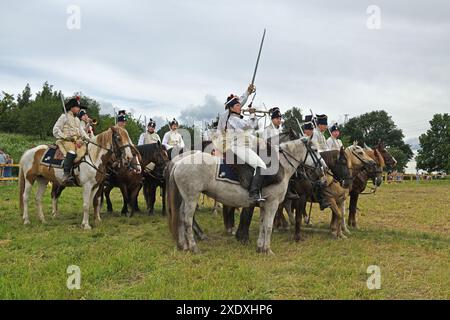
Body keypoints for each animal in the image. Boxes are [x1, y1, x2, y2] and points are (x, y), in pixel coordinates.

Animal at [164, 138, 324, 255]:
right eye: (315, 150)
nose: (323, 169)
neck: (282, 166)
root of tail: (178, 162)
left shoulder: (264, 205)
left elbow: (262, 226)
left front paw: (260, 248)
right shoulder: (272, 204)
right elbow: (268, 226)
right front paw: (267, 250)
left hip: (185, 198)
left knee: (180, 217)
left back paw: (183, 245)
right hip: (192, 197)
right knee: (187, 220)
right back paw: (193, 247)